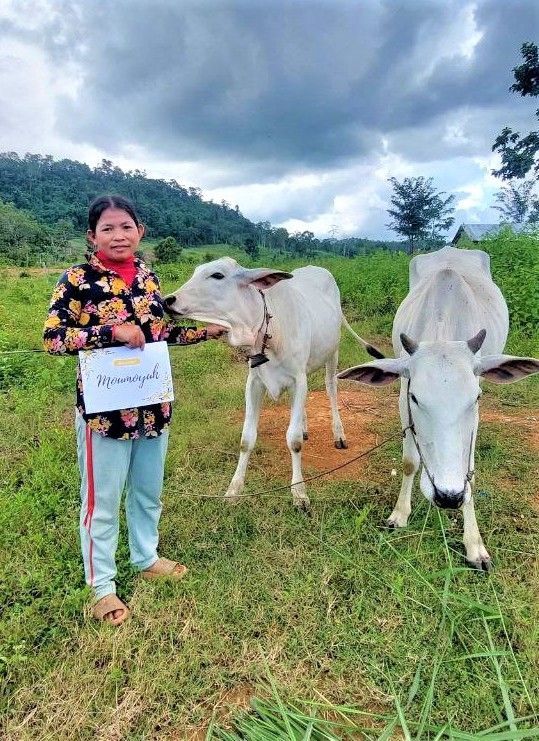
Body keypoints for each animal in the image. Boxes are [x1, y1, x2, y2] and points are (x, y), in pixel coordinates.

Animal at [167, 256, 382, 508]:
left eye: (217, 275)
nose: (168, 300)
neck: (271, 331)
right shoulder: (255, 382)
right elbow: (246, 439)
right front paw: (234, 489)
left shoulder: (298, 380)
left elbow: (294, 440)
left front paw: (299, 493)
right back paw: (305, 425)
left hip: (333, 353)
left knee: (331, 389)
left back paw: (338, 434)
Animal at [342, 246, 539, 568]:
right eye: (416, 398)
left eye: (475, 398)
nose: (448, 497)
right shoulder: (402, 394)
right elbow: (409, 461)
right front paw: (399, 514)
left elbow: (470, 470)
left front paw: (474, 544)